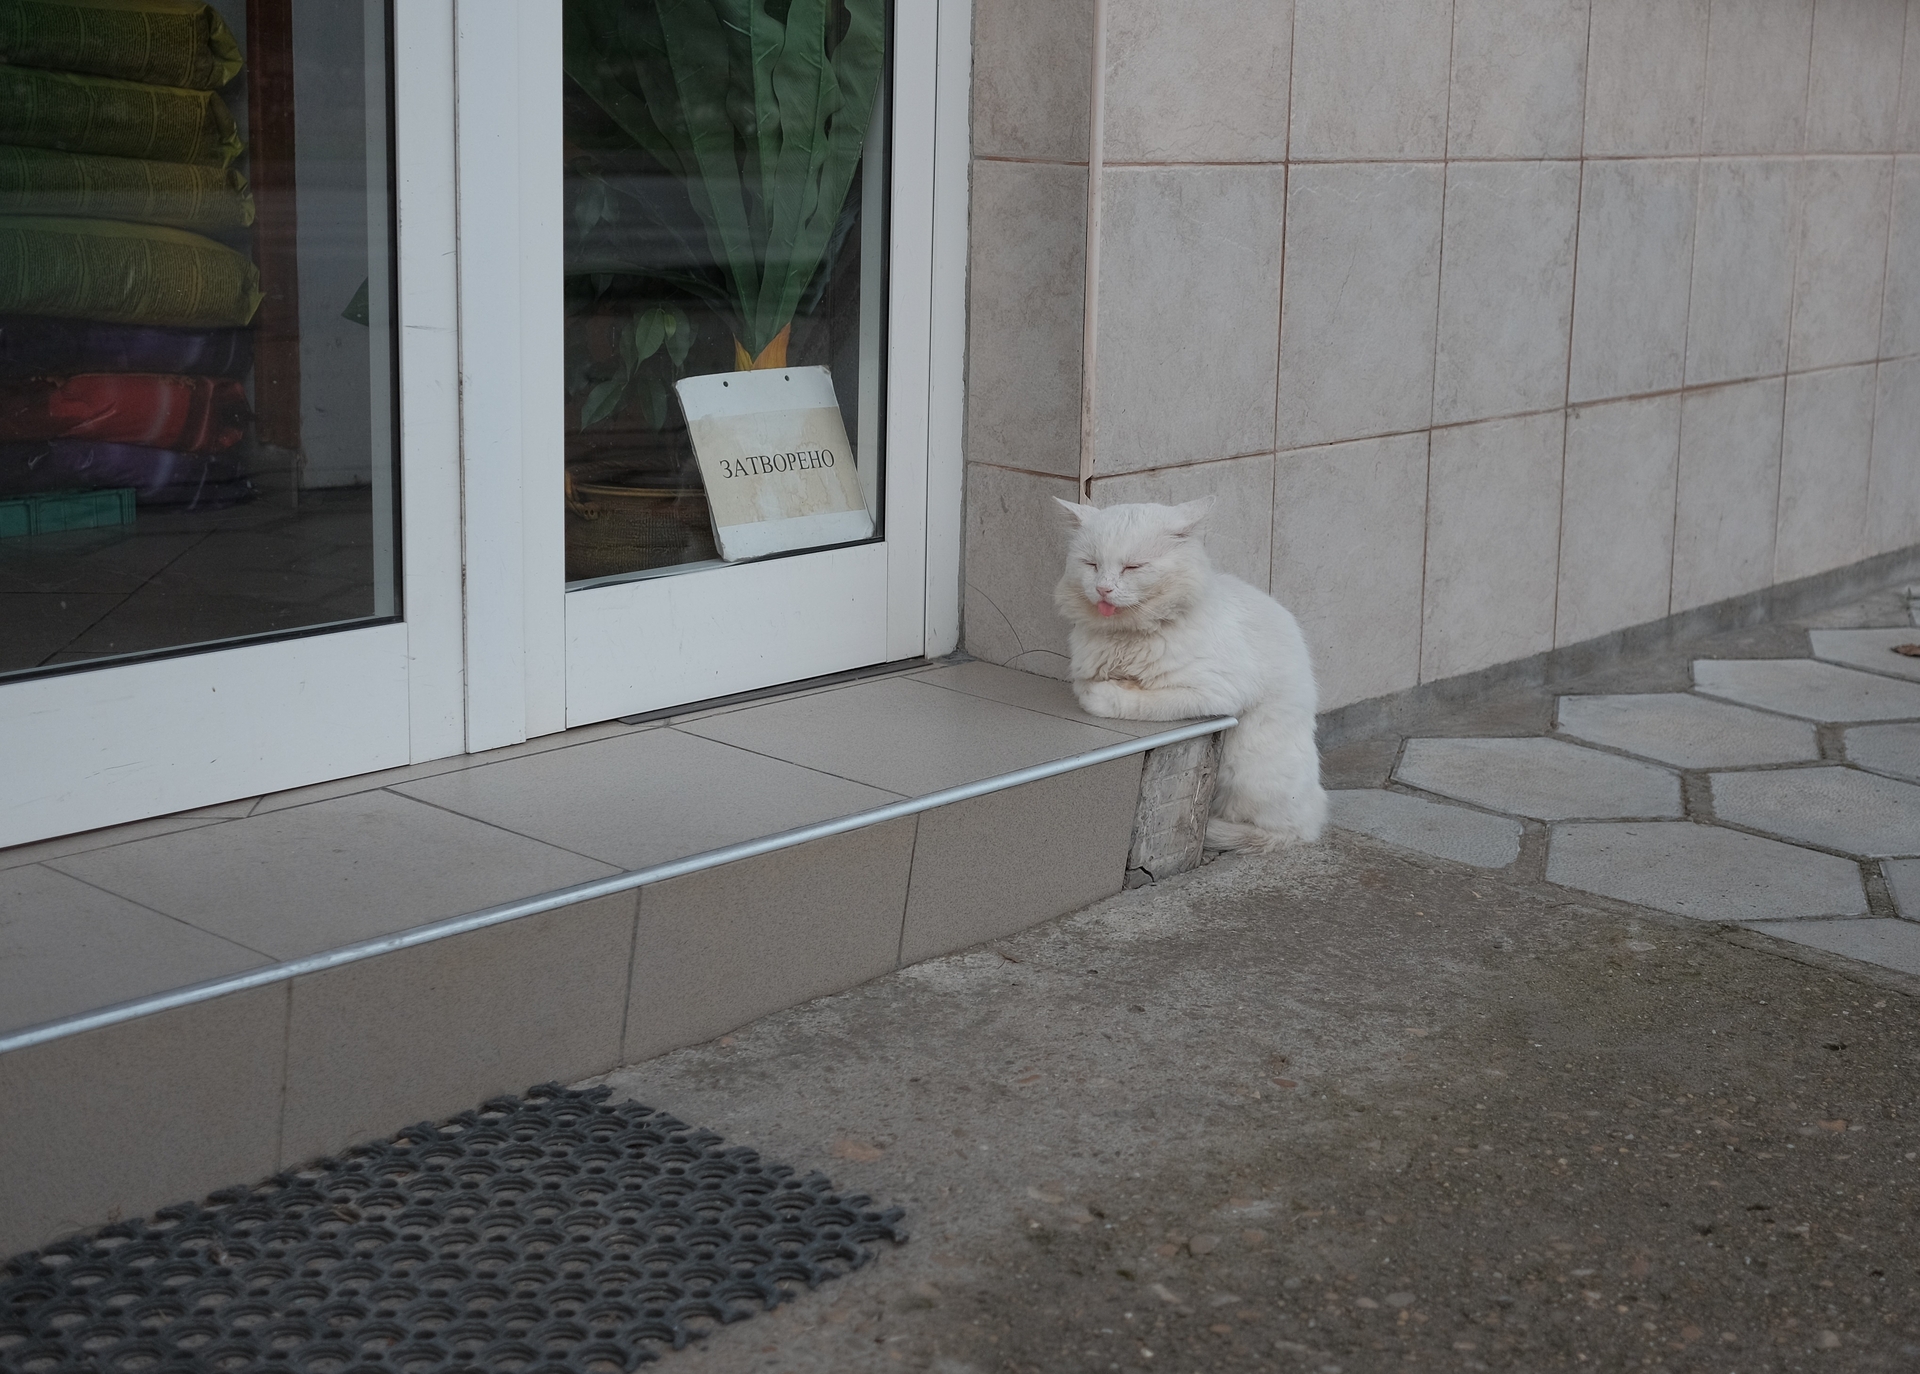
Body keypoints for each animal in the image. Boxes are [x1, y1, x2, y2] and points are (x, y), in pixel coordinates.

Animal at [1052, 497, 1327, 852]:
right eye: (1091, 565)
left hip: (1251, 769)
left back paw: (1216, 833)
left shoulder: (1216, 692)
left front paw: (1107, 692)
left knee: (1286, 832)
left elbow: (1142, 701)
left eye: (1133, 567)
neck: (1127, 637)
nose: (1103, 589)